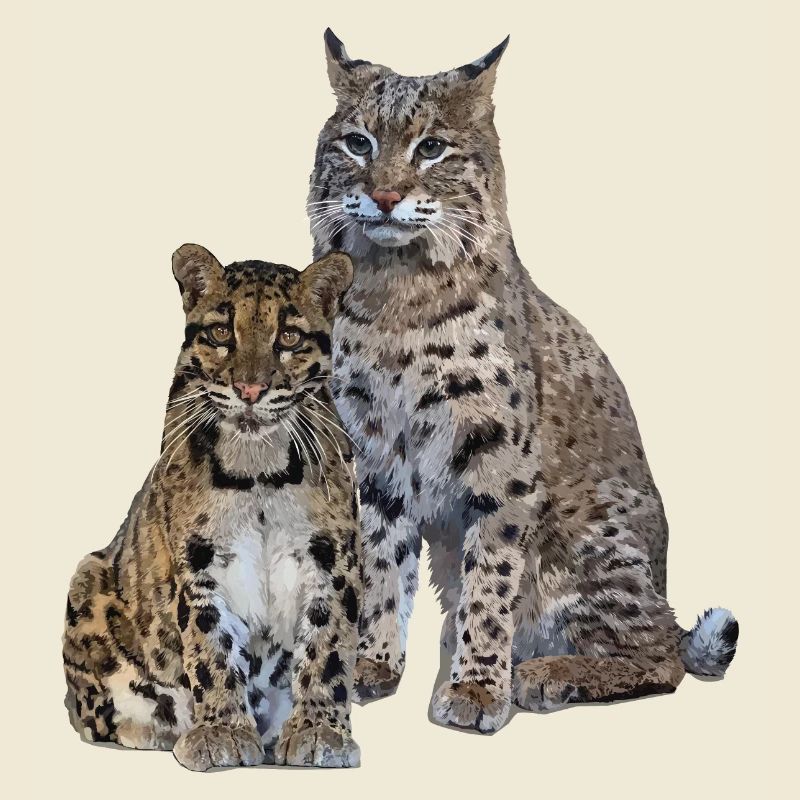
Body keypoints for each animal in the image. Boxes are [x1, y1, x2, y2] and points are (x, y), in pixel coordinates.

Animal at [62, 243, 362, 768]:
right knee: (97, 714)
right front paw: (221, 731)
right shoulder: (199, 561)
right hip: (87, 577)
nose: (250, 390)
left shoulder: (331, 559)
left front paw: (319, 731)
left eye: (288, 336)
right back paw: (159, 729)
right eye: (222, 332)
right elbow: (210, 647)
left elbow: (328, 647)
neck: (259, 471)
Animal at [306, 30, 739, 733]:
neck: (396, 291)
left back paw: (545, 673)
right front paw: (371, 663)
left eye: (432, 148)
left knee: (664, 653)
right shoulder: (376, 454)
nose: (387, 197)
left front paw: (478, 690)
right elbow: (380, 562)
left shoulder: (499, 459)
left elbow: (493, 576)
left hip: (588, 537)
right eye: (358, 144)